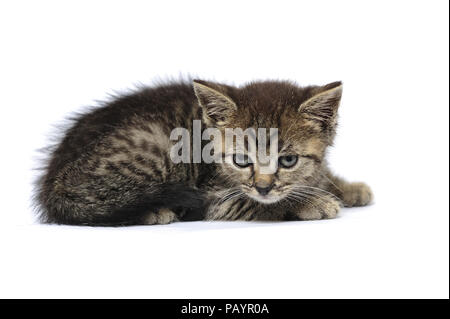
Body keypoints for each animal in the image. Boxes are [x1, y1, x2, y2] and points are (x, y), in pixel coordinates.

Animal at [34, 79, 372, 226]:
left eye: (288, 160)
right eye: (241, 160)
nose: (263, 188)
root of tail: (51, 185)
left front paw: (347, 188)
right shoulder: (212, 193)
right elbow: (250, 203)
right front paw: (312, 203)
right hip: (157, 143)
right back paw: (153, 211)